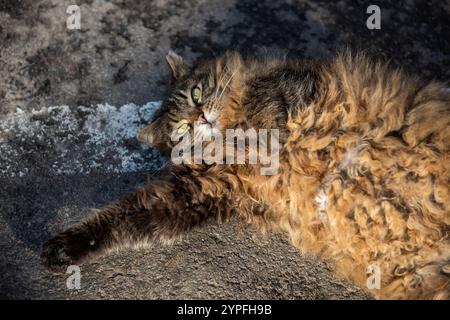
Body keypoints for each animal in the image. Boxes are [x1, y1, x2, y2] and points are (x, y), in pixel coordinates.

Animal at [40, 50, 448, 300]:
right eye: (180, 129)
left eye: (196, 93)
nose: (200, 118)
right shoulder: (201, 191)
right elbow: (124, 220)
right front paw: (64, 249)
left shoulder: (283, 112)